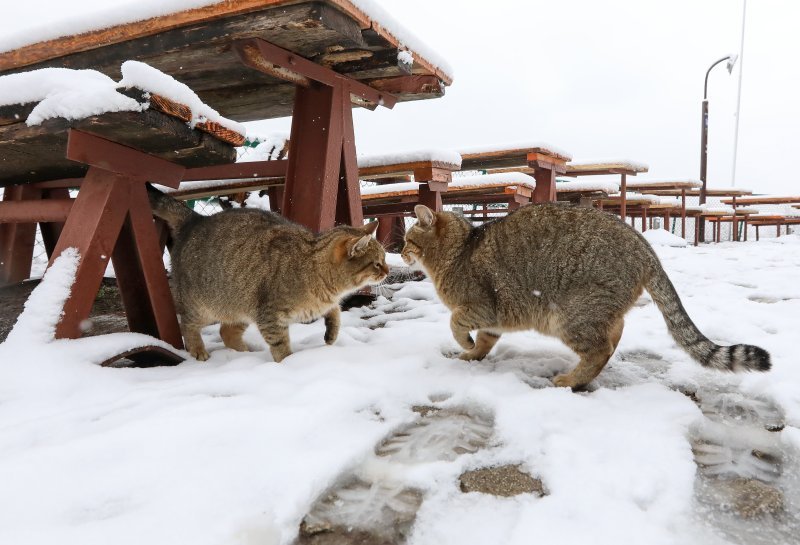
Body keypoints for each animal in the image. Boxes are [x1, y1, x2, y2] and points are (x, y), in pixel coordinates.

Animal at [150, 187, 390, 362]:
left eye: (385, 259)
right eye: (377, 264)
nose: (388, 271)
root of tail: (196, 218)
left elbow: (336, 312)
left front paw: (331, 334)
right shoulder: (270, 317)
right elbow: (280, 346)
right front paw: (289, 363)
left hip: (241, 306)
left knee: (226, 332)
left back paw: (245, 353)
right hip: (203, 307)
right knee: (187, 325)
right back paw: (198, 350)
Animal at [404, 203, 772, 386]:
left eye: (408, 239)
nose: (400, 250)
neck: (460, 249)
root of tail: (645, 246)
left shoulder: (483, 306)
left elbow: (456, 321)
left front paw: (463, 344)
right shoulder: (493, 322)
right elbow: (483, 342)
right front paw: (471, 356)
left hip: (568, 316)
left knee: (600, 349)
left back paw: (570, 381)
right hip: (594, 311)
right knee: (614, 334)